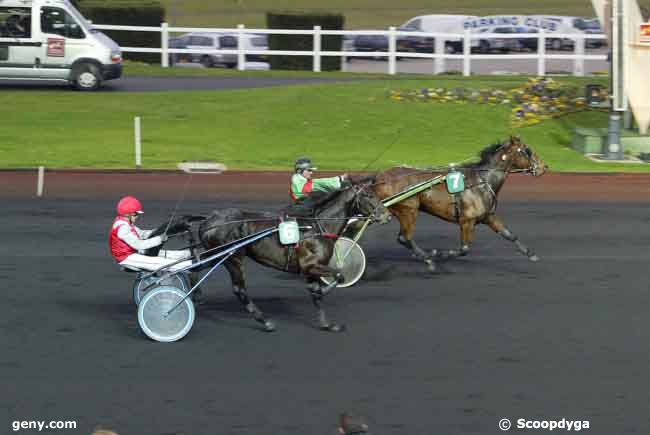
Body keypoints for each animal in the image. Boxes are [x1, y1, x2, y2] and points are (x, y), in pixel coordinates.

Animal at [195, 182, 388, 332]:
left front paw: (327, 324)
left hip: (217, 256)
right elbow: (339, 275)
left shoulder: (312, 269)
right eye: (369, 195)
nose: (386, 215)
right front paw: (322, 292)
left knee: (196, 265)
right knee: (239, 290)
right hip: (233, 257)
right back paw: (265, 322)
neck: (315, 227)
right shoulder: (310, 265)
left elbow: (318, 293)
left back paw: (196, 295)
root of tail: (208, 220)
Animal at [372, 137, 544, 272]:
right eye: (527, 150)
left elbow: (510, 235)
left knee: (404, 238)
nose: (544, 167)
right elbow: (464, 249)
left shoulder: (488, 217)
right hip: (408, 210)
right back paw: (428, 259)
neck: (482, 182)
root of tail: (381, 176)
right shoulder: (467, 221)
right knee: (404, 237)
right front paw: (439, 253)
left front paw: (531, 254)